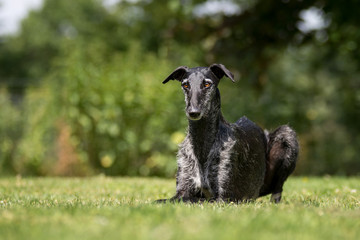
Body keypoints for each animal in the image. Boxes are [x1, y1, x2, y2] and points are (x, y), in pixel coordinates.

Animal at [158, 63, 298, 202]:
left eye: (207, 84)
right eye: (185, 85)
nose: (193, 112)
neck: (202, 143)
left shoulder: (223, 197)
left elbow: (193, 200)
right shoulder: (182, 190)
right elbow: (163, 200)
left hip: (286, 134)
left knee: (278, 188)